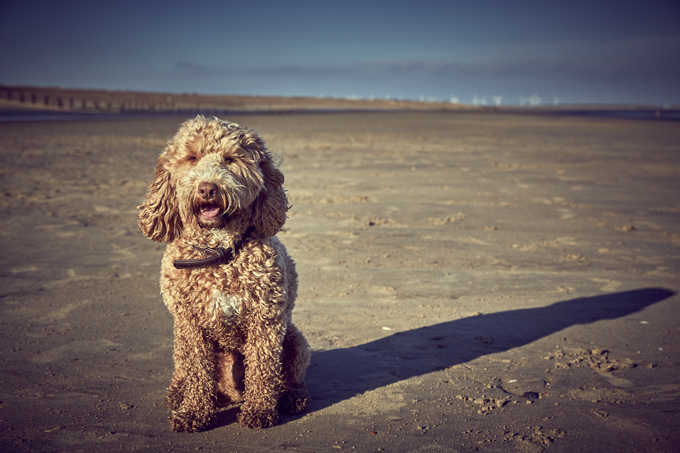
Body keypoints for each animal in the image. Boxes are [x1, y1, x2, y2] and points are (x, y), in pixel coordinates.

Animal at [137, 115, 310, 430]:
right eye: (191, 158)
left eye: (231, 159)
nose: (207, 188)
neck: (218, 253)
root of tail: (231, 394)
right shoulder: (190, 323)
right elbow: (197, 371)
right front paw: (193, 412)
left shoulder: (265, 321)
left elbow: (263, 369)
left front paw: (259, 410)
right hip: (179, 343)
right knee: (184, 371)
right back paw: (179, 394)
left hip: (294, 340)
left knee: (290, 377)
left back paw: (292, 397)